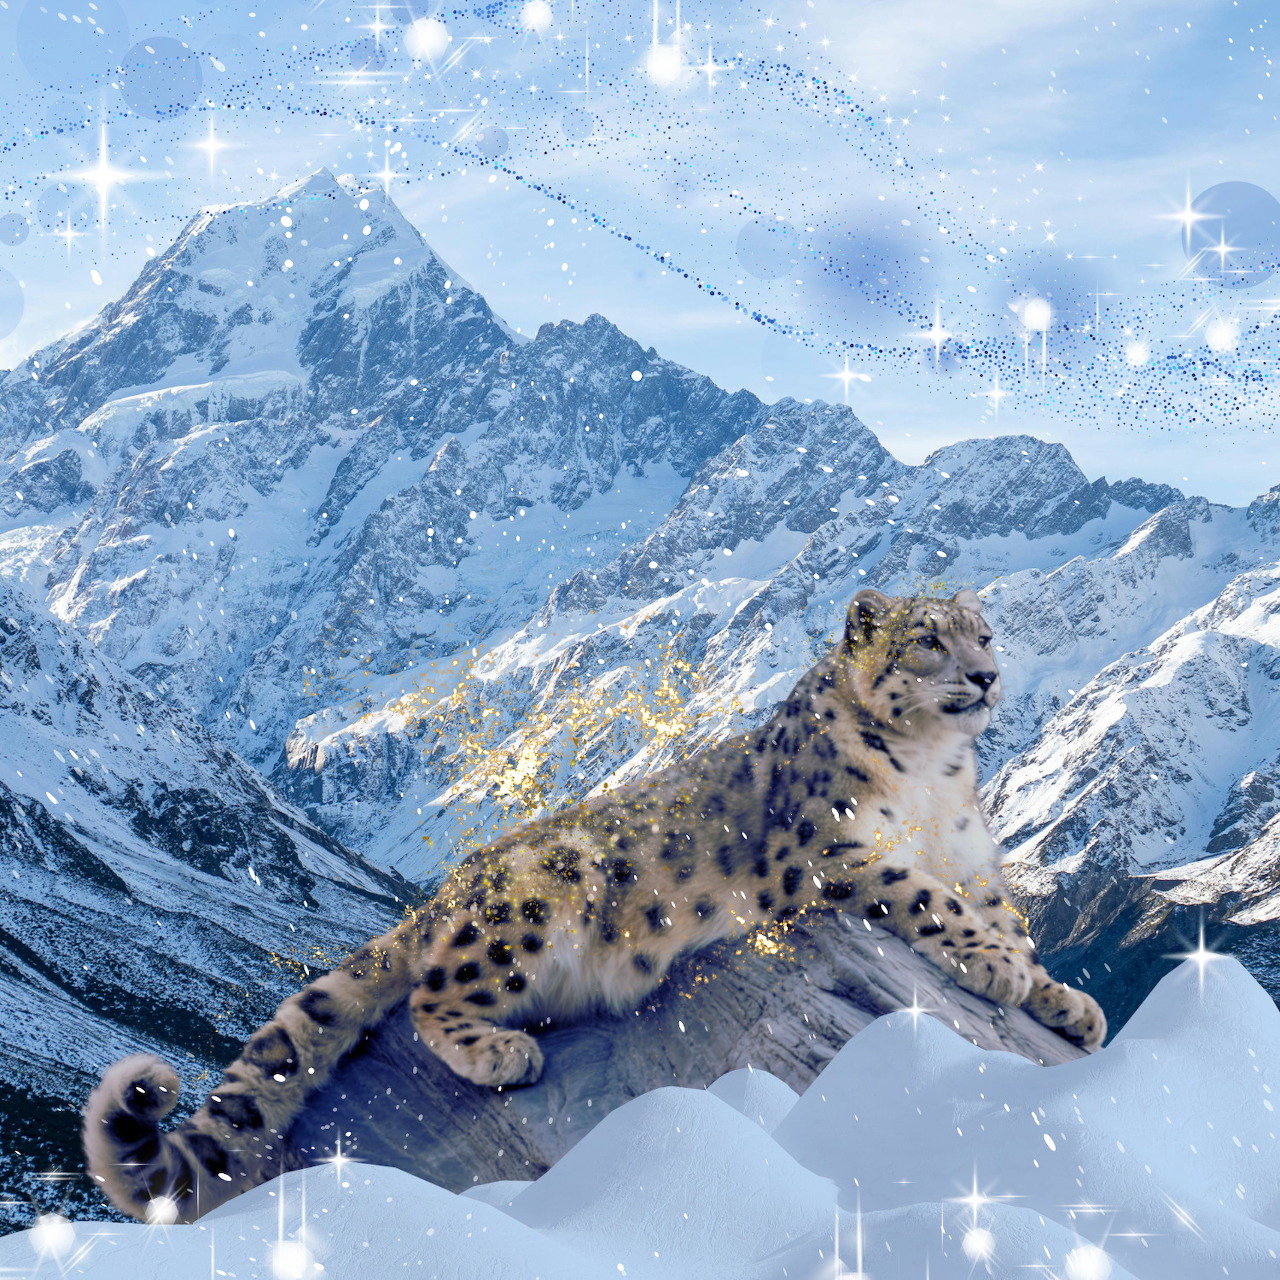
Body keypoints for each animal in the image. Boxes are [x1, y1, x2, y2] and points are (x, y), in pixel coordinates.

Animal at [83, 587, 1104, 1224]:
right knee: (434, 992)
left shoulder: (976, 861)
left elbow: (1005, 917)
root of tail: (452, 886)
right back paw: (501, 1052)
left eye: (984, 633)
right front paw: (1002, 969)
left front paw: (1069, 1003)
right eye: (928, 637)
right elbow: (928, 902)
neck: (936, 773)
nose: (985, 676)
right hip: (540, 895)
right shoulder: (836, 852)